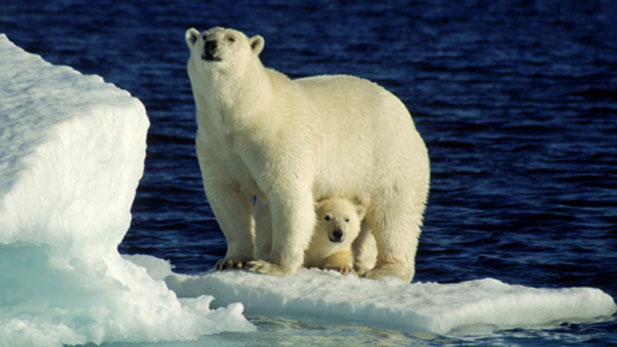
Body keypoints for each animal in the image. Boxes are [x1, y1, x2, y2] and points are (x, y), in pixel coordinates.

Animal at [185, 26, 430, 282]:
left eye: (231, 39)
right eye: (204, 36)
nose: (211, 46)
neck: (247, 115)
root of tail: (406, 116)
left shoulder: (279, 139)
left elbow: (288, 196)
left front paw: (271, 266)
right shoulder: (215, 145)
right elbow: (227, 196)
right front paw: (232, 260)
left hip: (389, 157)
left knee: (394, 213)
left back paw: (385, 269)